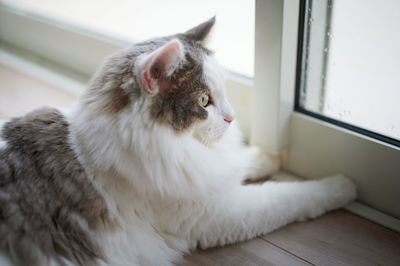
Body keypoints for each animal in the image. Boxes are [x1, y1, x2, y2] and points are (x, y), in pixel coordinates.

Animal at [0, 17, 356, 264]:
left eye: (222, 92)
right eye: (203, 101)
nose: (231, 117)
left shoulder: (209, 175)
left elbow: (244, 161)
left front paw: (272, 156)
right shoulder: (217, 213)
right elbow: (291, 197)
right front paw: (343, 185)